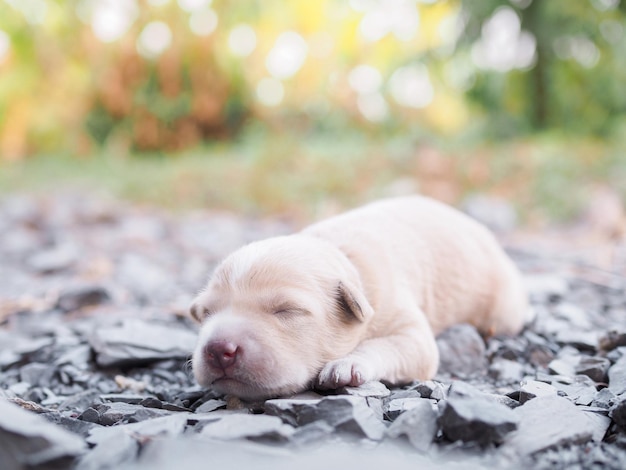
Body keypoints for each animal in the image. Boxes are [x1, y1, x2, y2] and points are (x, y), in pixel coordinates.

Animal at [188, 196, 528, 398]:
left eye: (287, 310)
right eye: (206, 313)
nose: (218, 349)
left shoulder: (408, 329)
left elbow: (387, 345)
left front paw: (347, 365)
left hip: (502, 309)